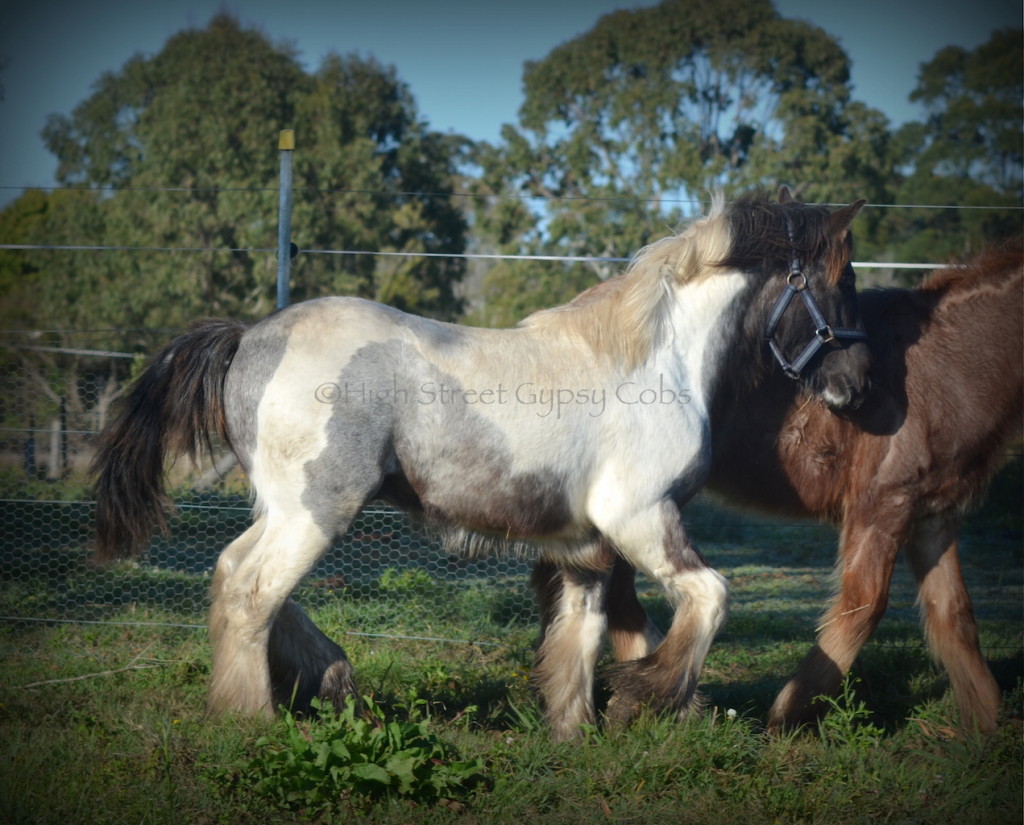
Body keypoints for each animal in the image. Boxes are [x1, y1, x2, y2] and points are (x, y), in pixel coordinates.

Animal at [92, 189, 868, 741]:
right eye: (844, 281)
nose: (855, 386)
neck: (654, 364)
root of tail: (249, 335)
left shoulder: (586, 545)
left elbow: (579, 636)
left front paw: (573, 730)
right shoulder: (641, 516)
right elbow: (710, 597)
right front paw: (643, 698)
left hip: (286, 509)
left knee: (239, 577)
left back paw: (330, 679)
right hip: (315, 511)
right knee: (253, 590)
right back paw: (251, 715)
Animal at [536, 235, 1024, 732]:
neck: (950, 365)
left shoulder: (933, 516)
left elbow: (954, 617)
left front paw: (987, 727)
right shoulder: (883, 505)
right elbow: (864, 605)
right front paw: (787, 714)